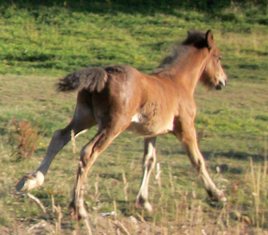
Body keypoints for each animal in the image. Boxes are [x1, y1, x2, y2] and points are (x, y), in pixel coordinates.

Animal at [16, 29, 226, 220]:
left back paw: (30, 181)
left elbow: (148, 161)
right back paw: (79, 208)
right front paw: (217, 195)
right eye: (218, 57)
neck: (178, 83)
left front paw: (144, 202)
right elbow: (198, 160)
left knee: (60, 136)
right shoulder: (185, 128)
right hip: (113, 125)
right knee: (88, 152)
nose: (222, 81)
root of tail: (105, 74)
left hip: (85, 117)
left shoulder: (151, 132)